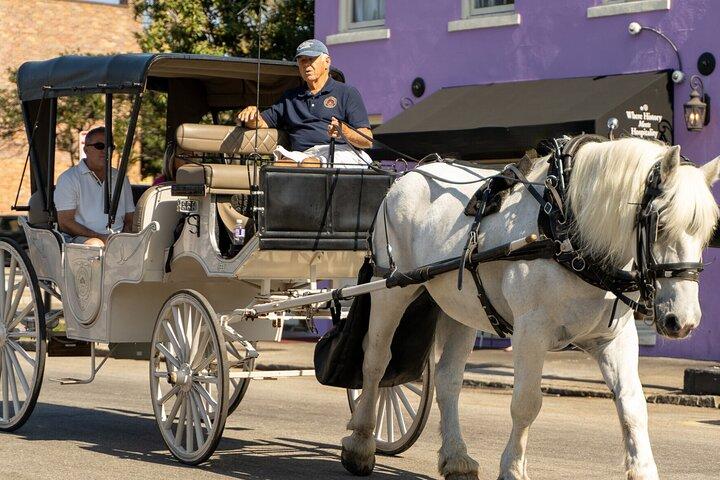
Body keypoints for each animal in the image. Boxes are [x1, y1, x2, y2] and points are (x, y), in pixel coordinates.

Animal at [340, 137, 720, 480]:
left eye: (706, 234)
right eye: (661, 225)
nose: (683, 321)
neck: (566, 230)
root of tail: (410, 174)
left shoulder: (615, 338)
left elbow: (632, 404)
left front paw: (642, 469)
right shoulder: (530, 332)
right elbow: (526, 403)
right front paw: (512, 468)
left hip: (461, 307)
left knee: (448, 379)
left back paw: (456, 458)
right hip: (391, 289)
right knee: (376, 363)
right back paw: (361, 443)